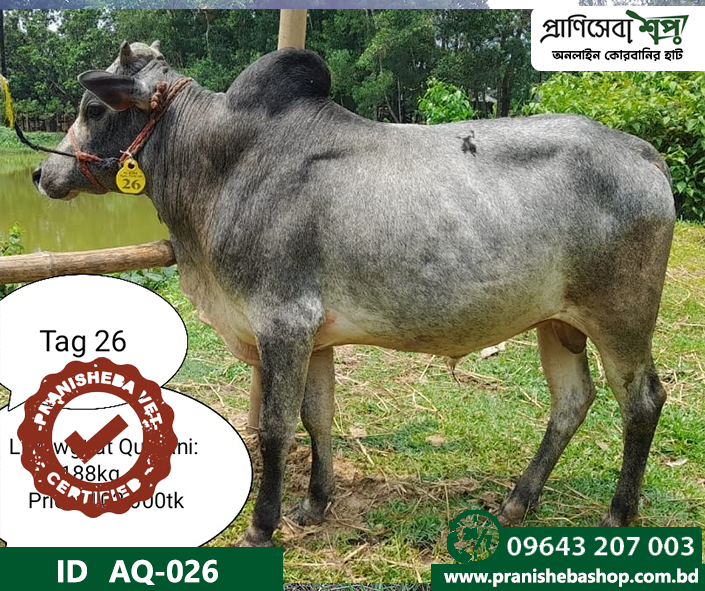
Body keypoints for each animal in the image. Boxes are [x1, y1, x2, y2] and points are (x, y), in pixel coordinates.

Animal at [33, 42, 675, 547]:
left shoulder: (283, 321)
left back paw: (619, 514)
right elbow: (317, 414)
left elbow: (276, 426)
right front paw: (315, 503)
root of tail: (641, 151)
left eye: (94, 108)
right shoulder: (314, 335)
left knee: (642, 400)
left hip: (621, 318)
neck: (219, 165)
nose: (41, 175)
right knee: (572, 400)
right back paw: (519, 499)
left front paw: (262, 525)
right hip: (558, 322)